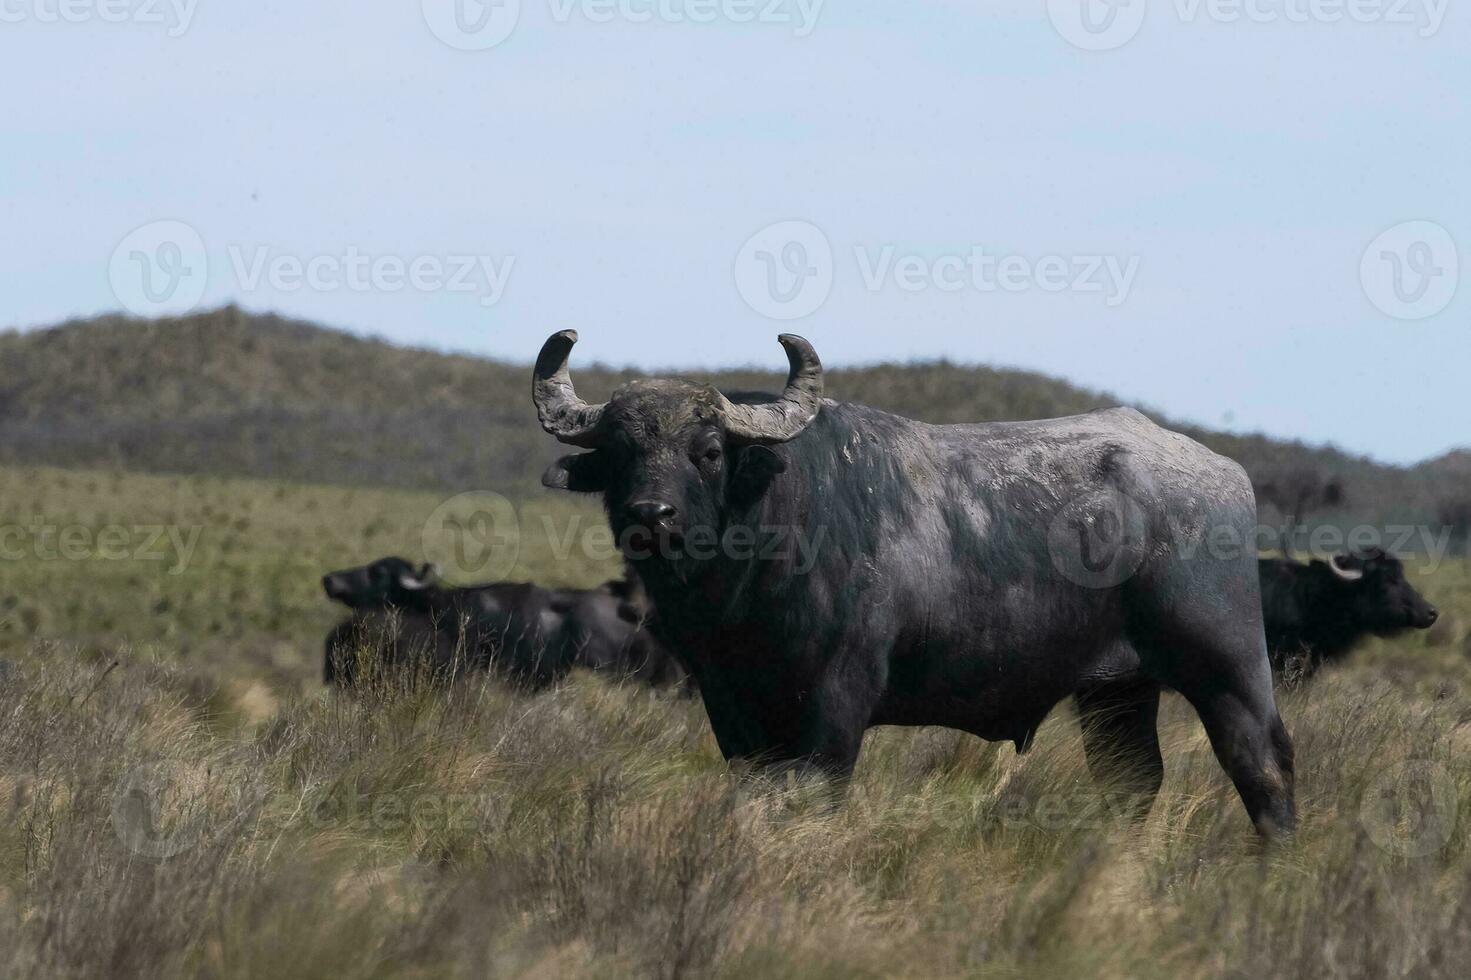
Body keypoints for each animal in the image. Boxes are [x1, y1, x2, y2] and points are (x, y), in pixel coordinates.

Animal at [535, 328, 1294, 829]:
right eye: (620, 451)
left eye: (709, 450)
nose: (650, 514)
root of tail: (1222, 472)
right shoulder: (731, 706)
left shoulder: (836, 706)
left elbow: (817, 801)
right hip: (1117, 691)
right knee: (1131, 784)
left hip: (1227, 667)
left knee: (1263, 766)